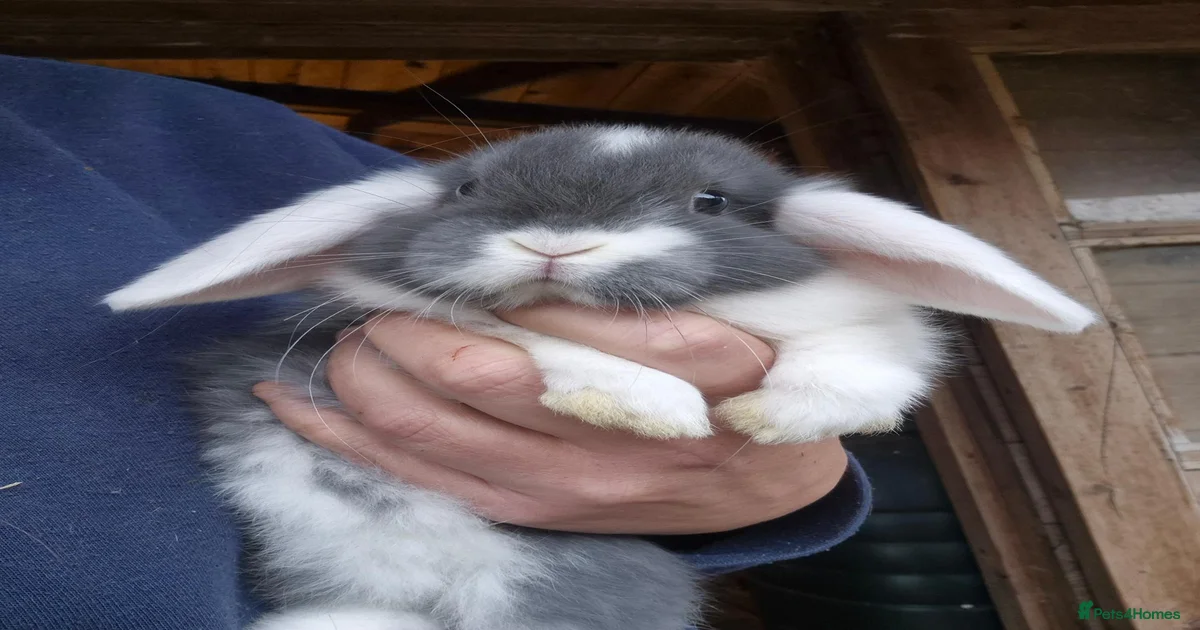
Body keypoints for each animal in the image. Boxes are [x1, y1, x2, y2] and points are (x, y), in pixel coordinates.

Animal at [104, 125, 1095, 630]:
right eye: (467, 192)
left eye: (710, 202)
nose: (553, 245)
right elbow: (528, 336)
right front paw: (652, 404)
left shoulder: (872, 329)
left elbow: (870, 359)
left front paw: (780, 413)